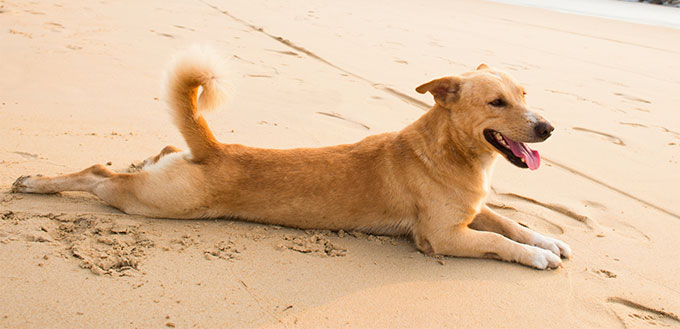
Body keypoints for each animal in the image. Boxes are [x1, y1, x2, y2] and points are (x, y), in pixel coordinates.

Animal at [13, 48, 572, 270]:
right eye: (497, 103)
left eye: (524, 94)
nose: (547, 128)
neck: (449, 152)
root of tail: (212, 148)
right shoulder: (444, 237)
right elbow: (500, 243)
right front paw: (537, 256)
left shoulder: (475, 210)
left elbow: (514, 224)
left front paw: (548, 240)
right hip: (153, 202)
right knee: (97, 175)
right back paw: (34, 183)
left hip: (162, 178)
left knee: (150, 155)